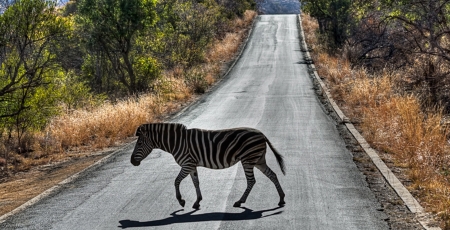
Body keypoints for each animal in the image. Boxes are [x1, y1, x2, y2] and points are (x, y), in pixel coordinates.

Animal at [130, 123, 284, 209]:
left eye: (139, 144)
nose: (132, 162)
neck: (176, 142)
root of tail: (261, 134)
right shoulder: (191, 165)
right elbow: (196, 182)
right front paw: (197, 201)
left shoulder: (187, 164)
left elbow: (176, 181)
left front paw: (181, 201)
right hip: (258, 160)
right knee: (272, 175)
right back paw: (281, 199)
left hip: (248, 159)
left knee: (252, 181)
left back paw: (240, 201)